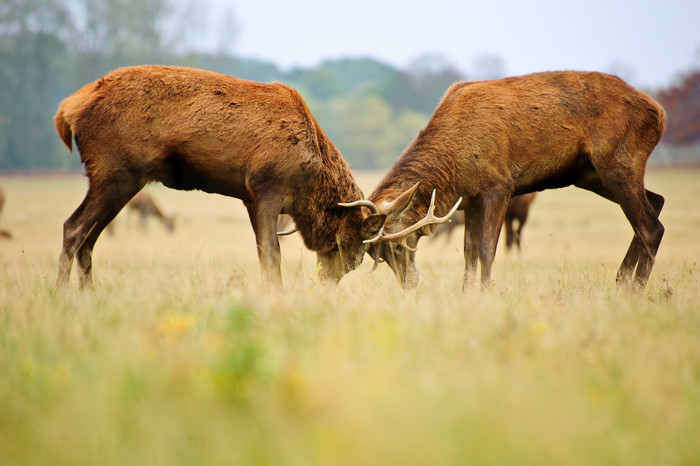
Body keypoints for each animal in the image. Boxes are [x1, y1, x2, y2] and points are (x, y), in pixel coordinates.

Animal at [54, 65, 380, 290]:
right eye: (348, 248)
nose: (326, 284)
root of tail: (67, 111)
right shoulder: (267, 186)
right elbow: (271, 254)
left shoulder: (250, 198)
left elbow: (262, 252)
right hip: (115, 172)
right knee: (73, 227)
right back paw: (62, 295)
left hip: (120, 179)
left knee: (89, 237)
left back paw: (88, 294)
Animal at [350, 71, 668, 290]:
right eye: (378, 255)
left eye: (399, 246)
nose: (410, 284)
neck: (454, 167)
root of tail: (660, 114)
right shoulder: (470, 199)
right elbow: (469, 251)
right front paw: (467, 294)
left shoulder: (499, 186)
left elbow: (487, 248)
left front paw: (485, 293)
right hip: (591, 174)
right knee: (656, 202)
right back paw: (620, 282)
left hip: (618, 161)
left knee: (651, 227)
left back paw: (635, 290)